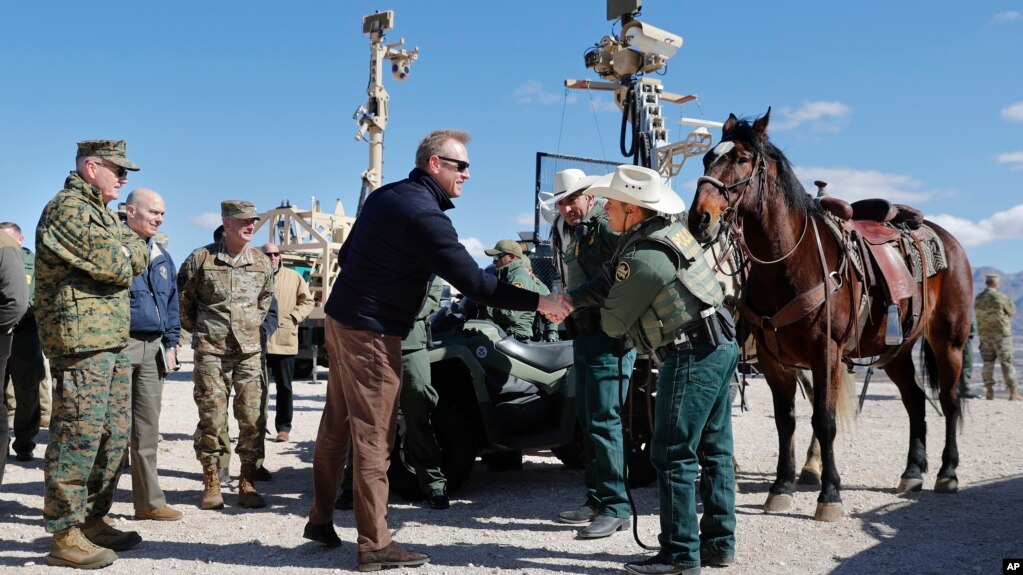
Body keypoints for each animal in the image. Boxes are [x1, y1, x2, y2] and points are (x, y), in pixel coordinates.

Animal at [687, 107, 973, 519]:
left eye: (741, 159)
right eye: (708, 158)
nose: (700, 218)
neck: (787, 264)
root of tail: (947, 239)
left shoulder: (827, 354)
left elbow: (824, 420)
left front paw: (829, 494)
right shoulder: (773, 361)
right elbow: (785, 421)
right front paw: (781, 487)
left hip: (948, 342)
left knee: (949, 401)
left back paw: (947, 473)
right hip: (896, 351)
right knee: (915, 399)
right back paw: (912, 473)